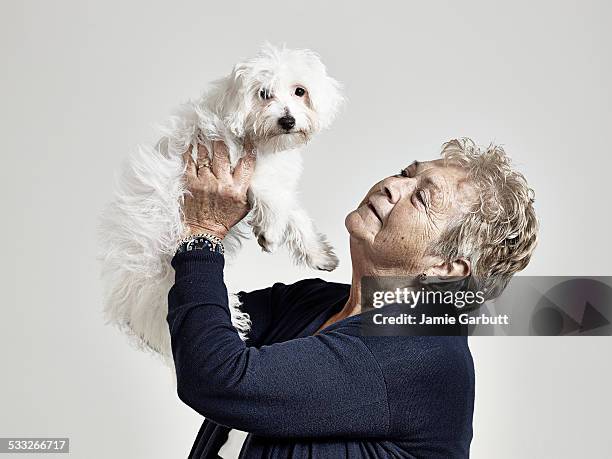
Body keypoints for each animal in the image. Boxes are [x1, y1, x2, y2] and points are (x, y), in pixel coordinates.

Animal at [98, 44, 342, 362]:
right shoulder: (238, 168)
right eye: (264, 94)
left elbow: (293, 212)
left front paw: (318, 254)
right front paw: (271, 233)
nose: (287, 121)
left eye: (300, 91)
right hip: (164, 288)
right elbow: (271, 197)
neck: (258, 140)